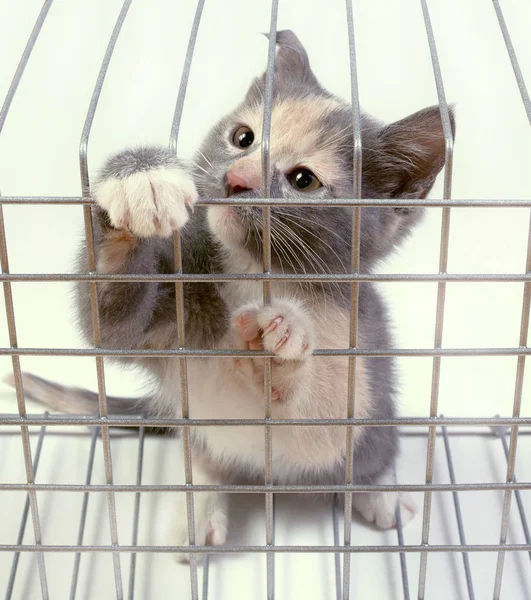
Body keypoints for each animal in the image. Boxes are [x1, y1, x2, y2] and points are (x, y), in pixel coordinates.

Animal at [9, 31, 454, 556]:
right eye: (243, 138)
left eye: (303, 180)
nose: (236, 179)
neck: (252, 274)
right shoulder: (176, 313)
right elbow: (109, 323)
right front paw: (140, 178)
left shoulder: (356, 342)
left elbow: (325, 423)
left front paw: (280, 339)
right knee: (205, 460)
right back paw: (201, 506)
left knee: (369, 455)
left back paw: (378, 493)